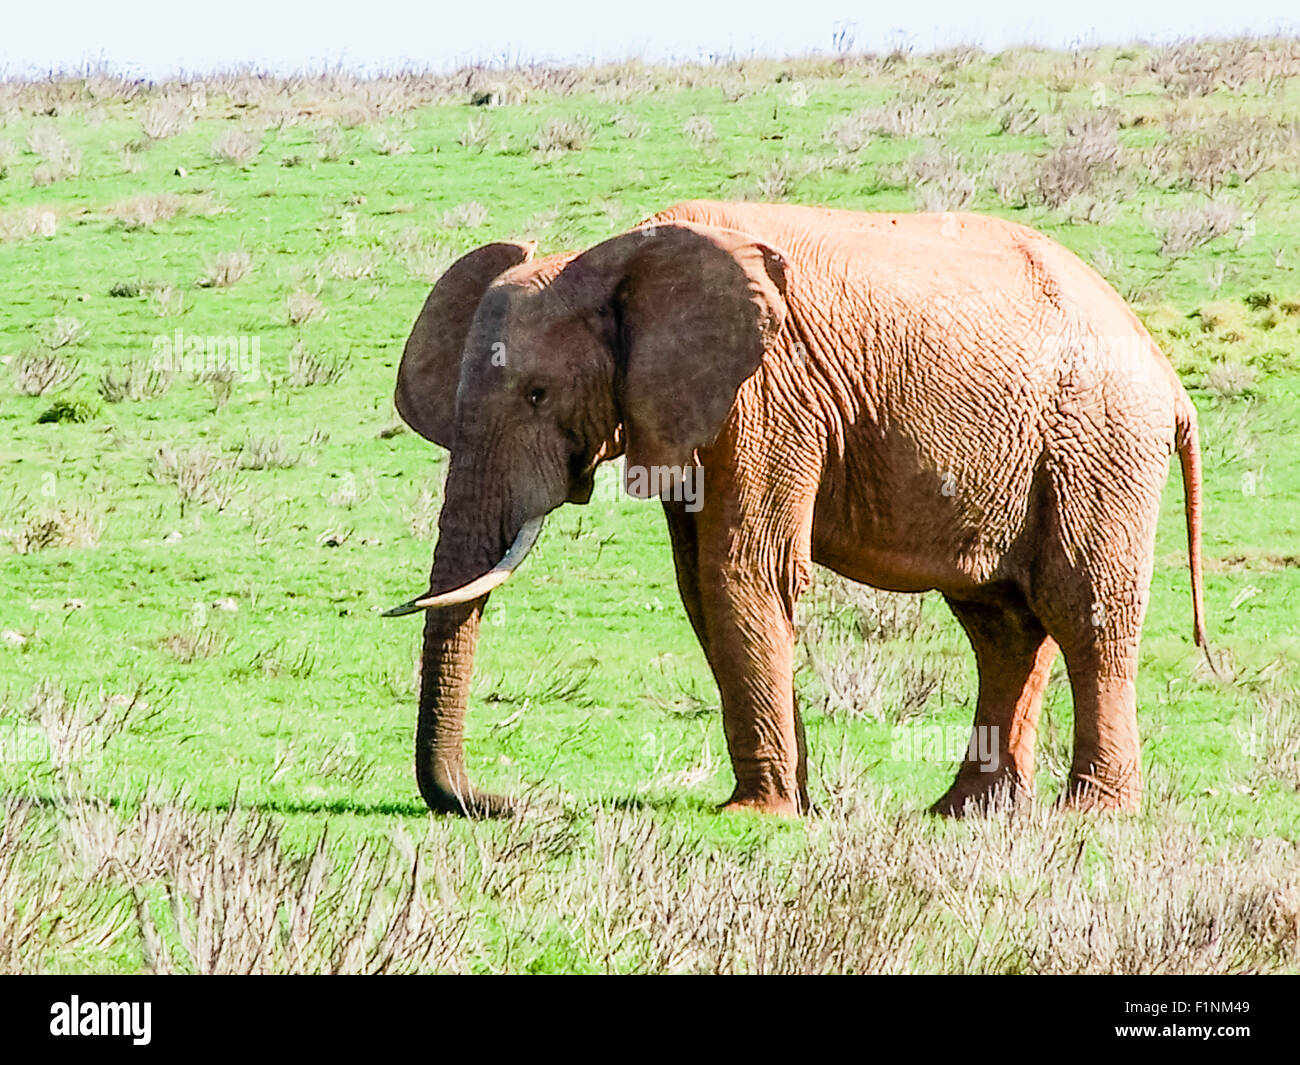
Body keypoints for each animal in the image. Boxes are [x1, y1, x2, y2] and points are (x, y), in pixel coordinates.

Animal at [384, 199, 1211, 819]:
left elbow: (741, 571)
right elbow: (700, 587)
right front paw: (792, 804)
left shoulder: (769, 394)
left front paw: (758, 813)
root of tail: (1166, 373)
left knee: (1085, 609)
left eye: (536, 394)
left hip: (1098, 440)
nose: (504, 800)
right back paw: (965, 812)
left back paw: (1091, 812)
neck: (612, 259)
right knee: (1001, 625)